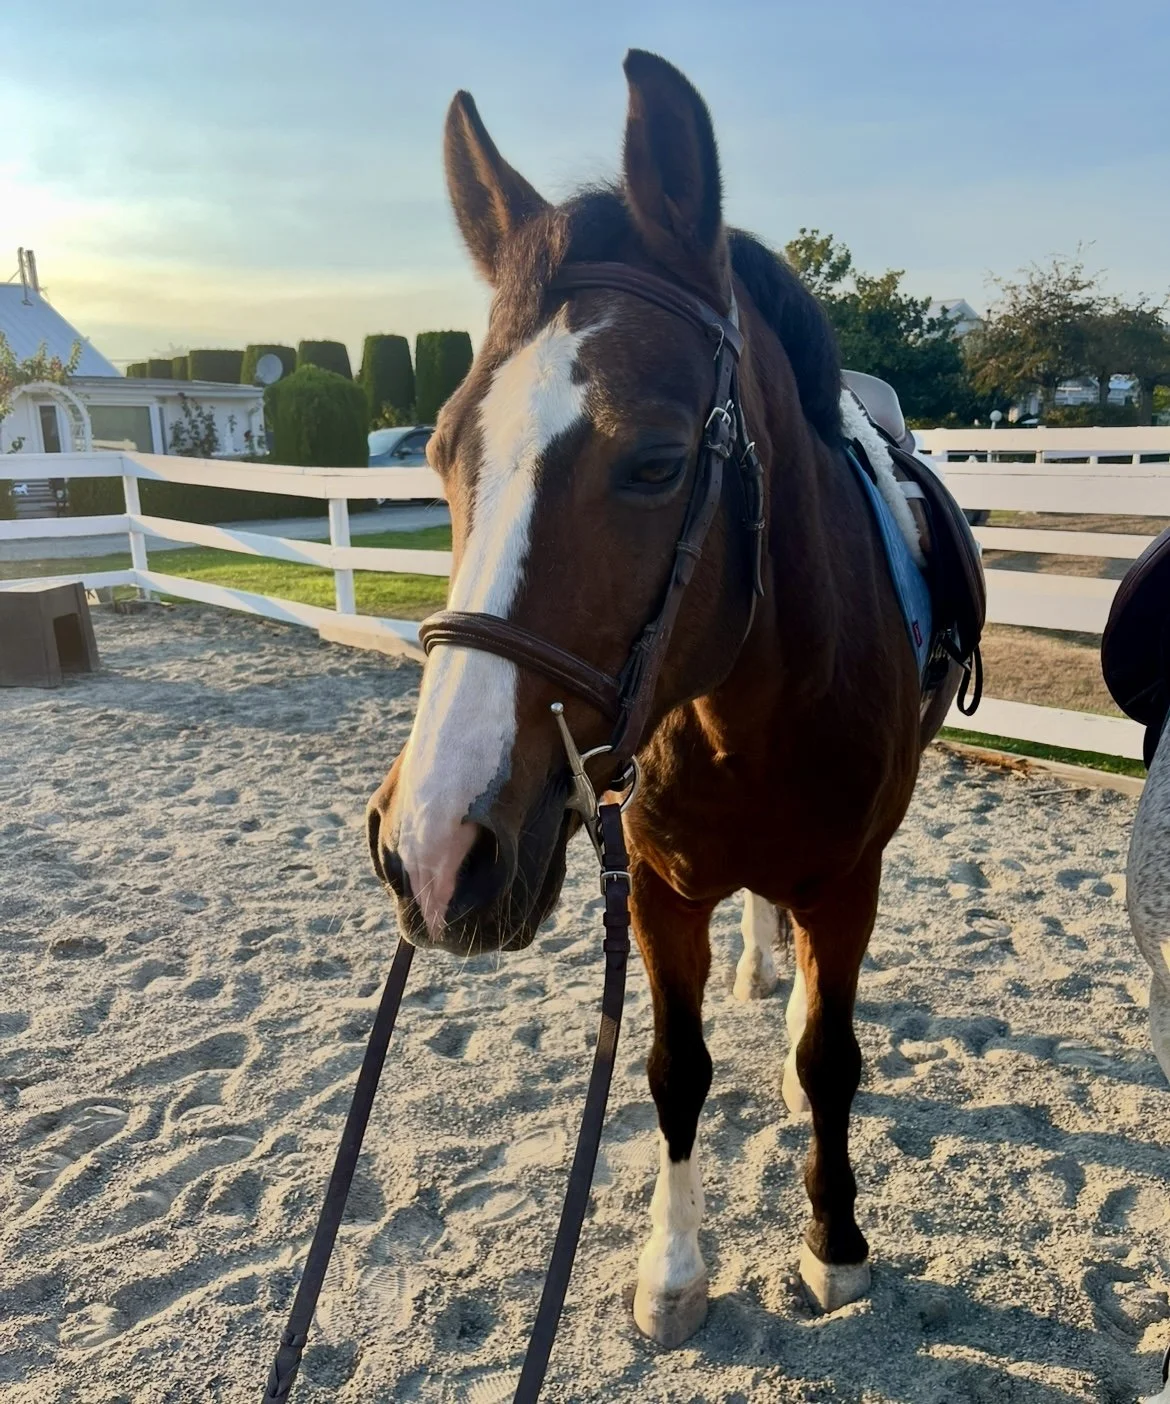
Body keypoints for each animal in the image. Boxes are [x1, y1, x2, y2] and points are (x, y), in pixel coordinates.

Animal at [367, 49, 967, 1348]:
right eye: (439, 453)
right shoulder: (651, 887)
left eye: (653, 462)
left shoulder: (850, 877)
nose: (430, 850)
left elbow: (832, 1060)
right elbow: (674, 1070)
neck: (749, 707)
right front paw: (674, 1268)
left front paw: (835, 1246)